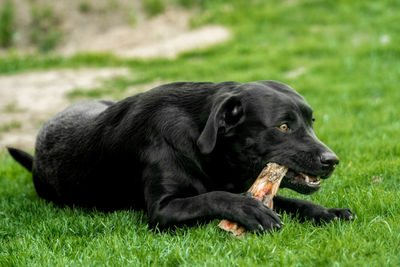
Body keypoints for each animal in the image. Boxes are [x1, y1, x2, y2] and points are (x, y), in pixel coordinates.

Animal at [7, 81, 354, 232]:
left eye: (311, 122)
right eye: (283, 126)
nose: (332, 160)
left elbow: (291, 200)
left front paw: (326, 212)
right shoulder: (163, 211)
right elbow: (212, 197)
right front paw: (249, 211)